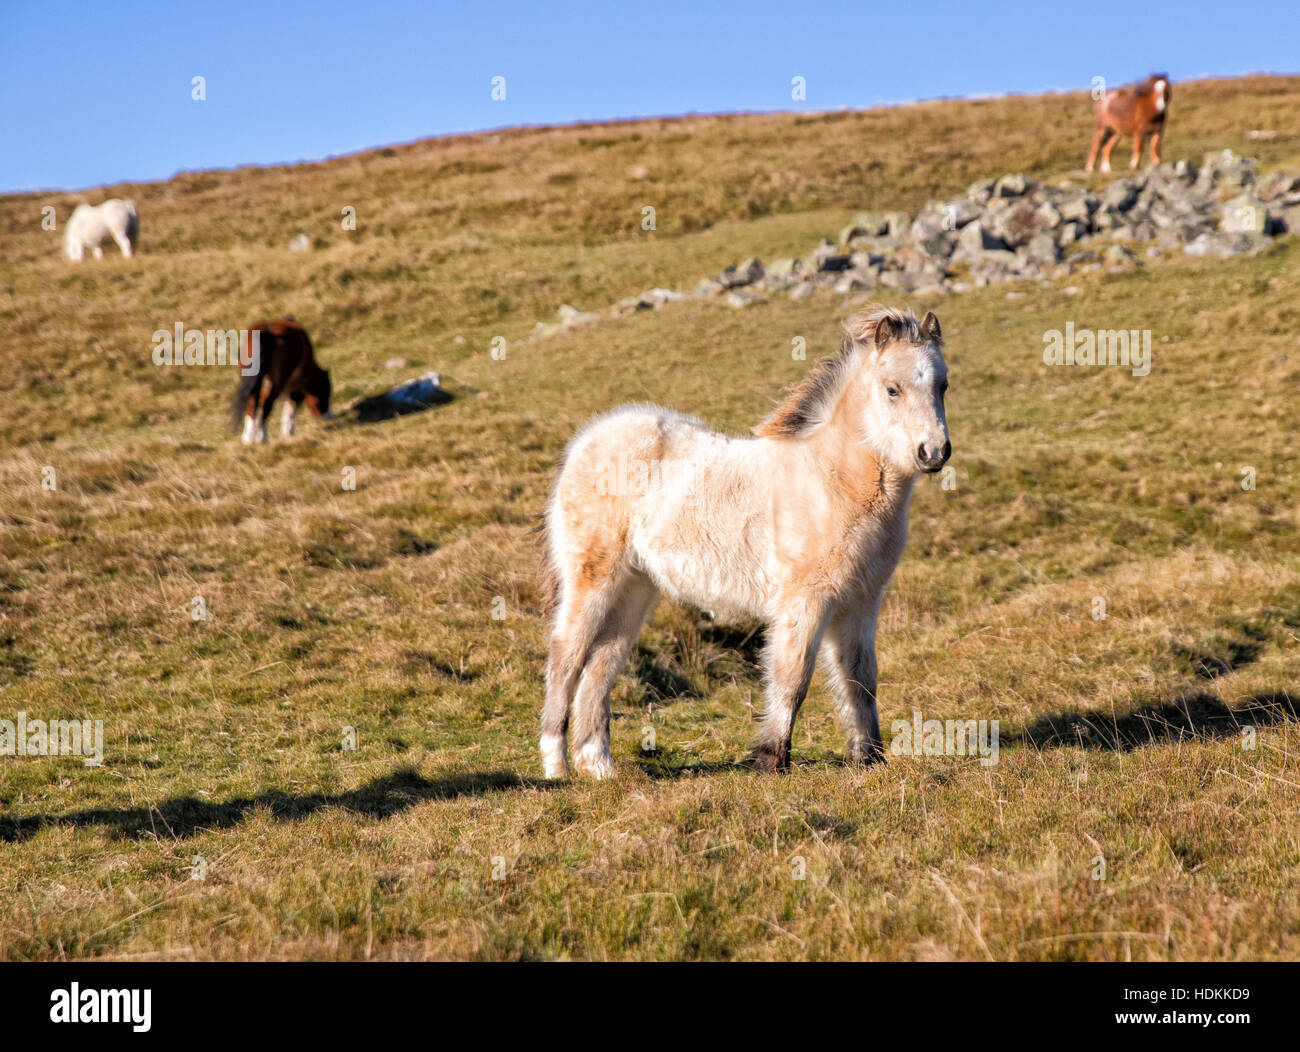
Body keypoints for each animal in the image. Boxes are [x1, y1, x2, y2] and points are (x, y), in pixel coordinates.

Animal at [538, 305, 951, 779]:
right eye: (892, 389)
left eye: (943, 385)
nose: (934, 452)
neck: (832, 480)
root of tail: (584, 442)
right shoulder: (805, 601)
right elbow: (793, 678)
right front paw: (772, 760)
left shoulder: (861, 602)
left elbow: (861, 679)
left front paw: (868, 758)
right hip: (593, 578)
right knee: (566, 656)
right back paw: (557, 768)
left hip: (635, 587)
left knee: (601, 663)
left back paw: (600, 767)